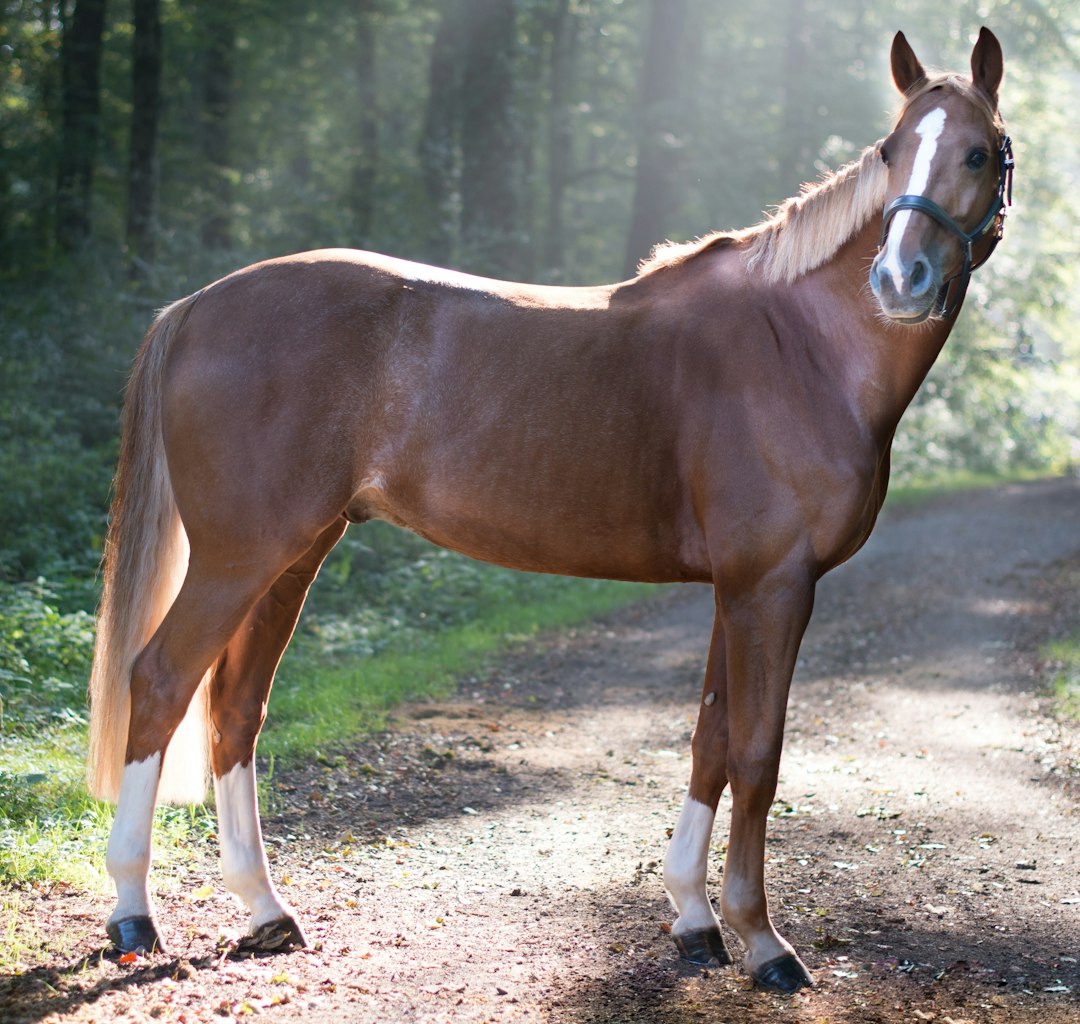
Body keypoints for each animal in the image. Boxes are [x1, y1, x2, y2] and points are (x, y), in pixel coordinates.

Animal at [87, 28, 1011, 994]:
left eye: (978, 153)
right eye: (892, 152)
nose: (899, 279)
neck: (801, 345)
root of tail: (196, 305)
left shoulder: (737, 587)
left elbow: (711, 740)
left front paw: (693, 920)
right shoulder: (774, 585)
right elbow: (757, 756)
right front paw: (762, 940)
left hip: (292, 553)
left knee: (235, 706)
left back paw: (265, 911)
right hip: (240, 556)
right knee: (162, 680)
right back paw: (133, 913)